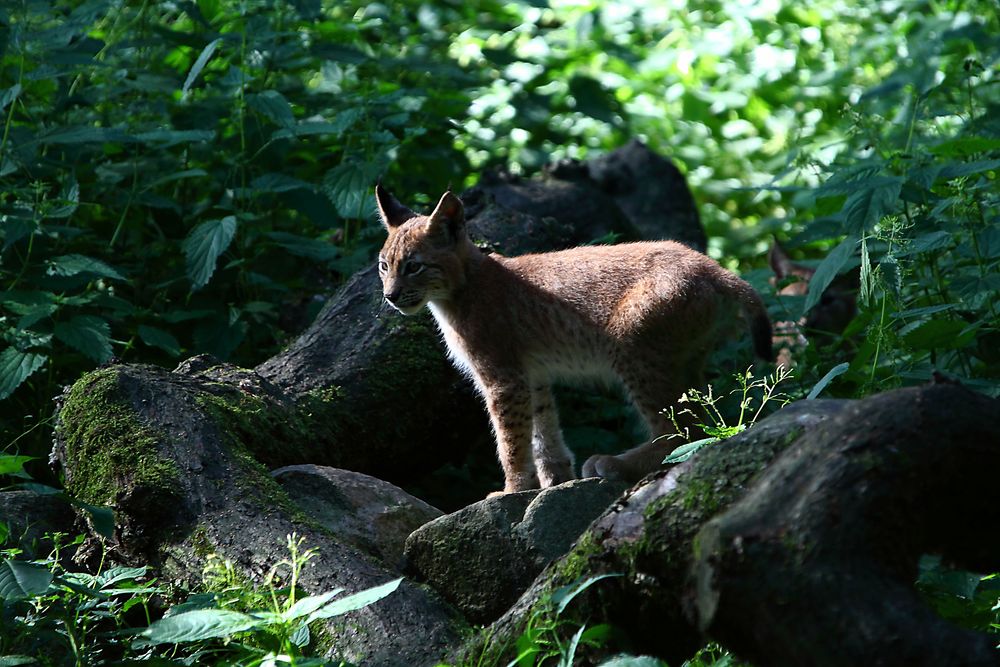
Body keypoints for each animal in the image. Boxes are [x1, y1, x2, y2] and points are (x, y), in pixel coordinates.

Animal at [376, 185, 772, 494]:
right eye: (384, 265)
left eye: (414, 266)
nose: (391, 296)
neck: (457, 289)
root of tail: (712, 266)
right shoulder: (531, 375)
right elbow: (542, 430)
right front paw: (554, 480)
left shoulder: (503, 376)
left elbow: (510, 440)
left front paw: (511, 489)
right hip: (684, 359)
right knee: (704, 424)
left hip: (633, 346)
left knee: (680, 432)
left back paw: (616, 464)